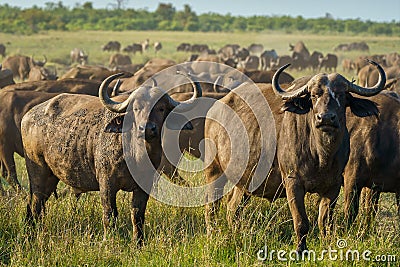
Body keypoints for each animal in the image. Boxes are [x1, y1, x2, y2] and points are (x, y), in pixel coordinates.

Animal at [21, 72, 202, 246]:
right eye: (135, 108)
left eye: (161, 108)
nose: (147, 128)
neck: (135, 155)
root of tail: (28, 116)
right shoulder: (107, 184)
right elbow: (110, 215)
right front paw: (108, 241)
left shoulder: (144, 186)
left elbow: (137, 215)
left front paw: (138, 242)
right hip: (38, 173)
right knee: (36, 203)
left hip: (52, 178)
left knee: (36, 204)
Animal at [205, 60, 386, 253]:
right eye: (314, 95)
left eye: (341, 95)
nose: (325, 118)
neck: (321, 154)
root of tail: (216, 108)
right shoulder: (293, 183)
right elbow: (301, 222)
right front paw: (300, 251)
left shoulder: (334, 186)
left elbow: (325, 223)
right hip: (214, 171)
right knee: (212, 205)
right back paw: (212, 234)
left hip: (244, 181)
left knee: (232, 208)